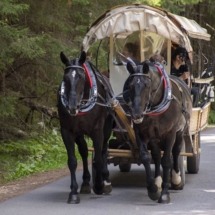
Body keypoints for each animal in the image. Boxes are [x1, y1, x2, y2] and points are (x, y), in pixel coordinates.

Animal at [57, 51, 114, 204]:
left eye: (81, 77)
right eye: (65, 78)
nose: (72, 107)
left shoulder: (97, 131)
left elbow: (98, 160)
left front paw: (99, 185)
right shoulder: (67, 131)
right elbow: (72, 161)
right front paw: (73, 193)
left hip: (107, 128)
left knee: (104, 149)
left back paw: (105, 179)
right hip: (79, 133)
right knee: (83, 151)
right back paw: (86, 182)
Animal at [125, 61, 192, 203]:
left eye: (146, 85)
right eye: (130, 85)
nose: (136, 114)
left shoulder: (170, 133)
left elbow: (166, 160)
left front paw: (165, 193)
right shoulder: (141, 133)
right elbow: (146, 157)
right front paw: (153, 189)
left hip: (180, 131)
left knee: (176, 151)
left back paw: (176, 178)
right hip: (155, 137)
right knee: (156, 155)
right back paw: (157, 180)